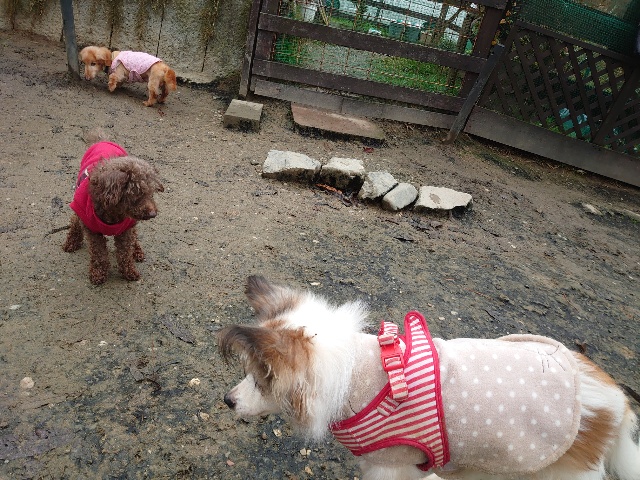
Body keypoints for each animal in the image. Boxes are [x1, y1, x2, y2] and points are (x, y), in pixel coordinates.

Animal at [62, 129, 164, 285]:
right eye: (137, 193)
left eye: (151, 193)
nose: (153, 214)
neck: (115, 212)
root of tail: (102, 140)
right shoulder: (92, 230)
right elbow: (99, 254)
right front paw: (98, 274)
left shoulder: (126, 230)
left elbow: (124, 253)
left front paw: (129, 272)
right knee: (74, 220)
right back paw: (71, 242)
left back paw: (137, 251)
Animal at [218, 276, 640, 480]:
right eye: (249, 373)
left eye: (261, 378)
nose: (228, 401)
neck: (357, 374)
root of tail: (616, 400)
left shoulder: (389, 467)